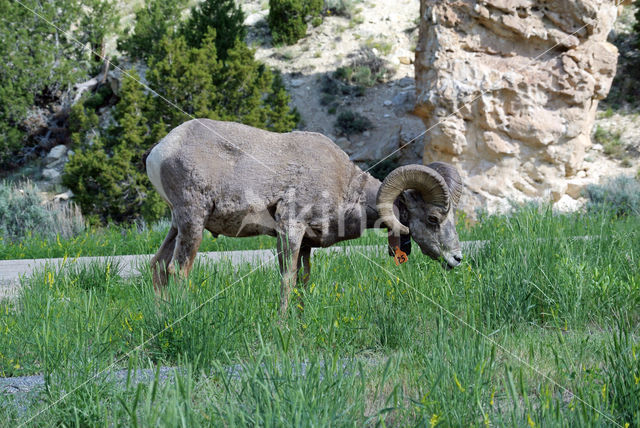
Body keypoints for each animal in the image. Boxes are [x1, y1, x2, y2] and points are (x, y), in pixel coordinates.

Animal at [147, 119, 462, 314]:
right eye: (433, 218)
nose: (457, 258)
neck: (345, 189)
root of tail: (160, 151)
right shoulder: (290, 230)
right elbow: (287, 279)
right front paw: (282, 324)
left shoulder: (308, 244)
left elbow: (303, 281)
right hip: (193, 220)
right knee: (178, 269)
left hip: (177, 224)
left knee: (158, 264)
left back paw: (161, 315)